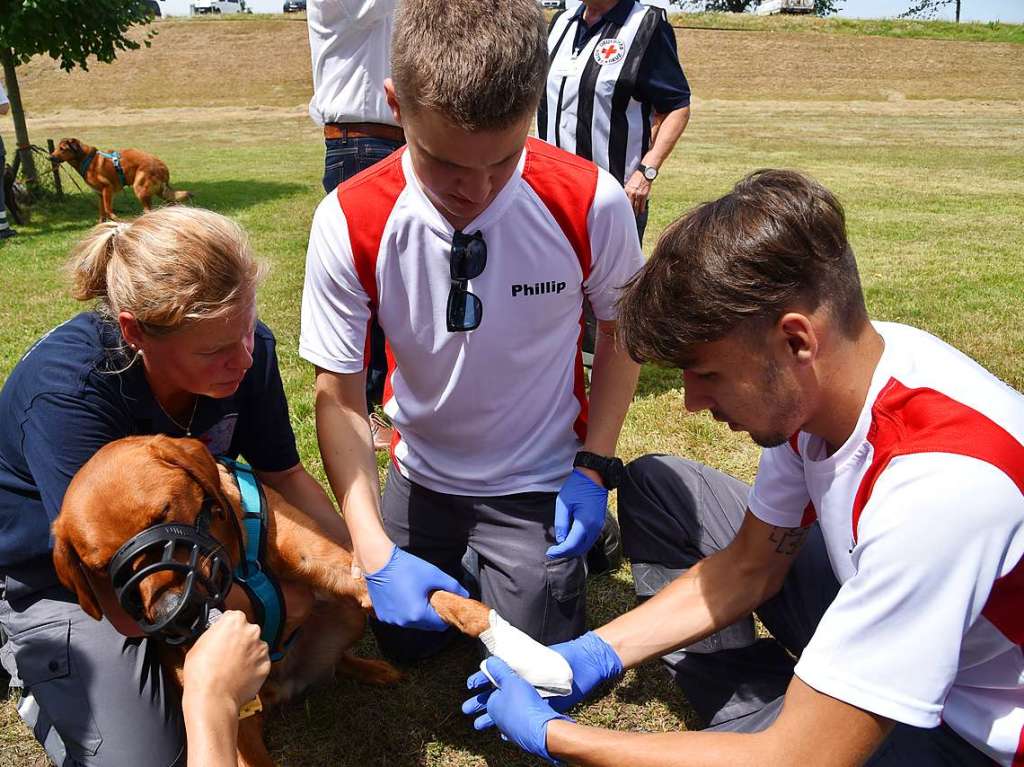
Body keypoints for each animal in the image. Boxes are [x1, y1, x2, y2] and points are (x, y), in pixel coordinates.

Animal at [48, 137, 192, 221]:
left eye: (62, 149)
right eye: (56, 148)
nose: (50, 157)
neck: (85, 159)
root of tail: (162, 166)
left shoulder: (107, 189)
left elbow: (108, 210)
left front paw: (115, 219)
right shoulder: (100, 194)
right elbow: (102, 214)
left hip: (140, 189)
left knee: (149, 210)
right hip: (159, 192)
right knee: (171, 203)